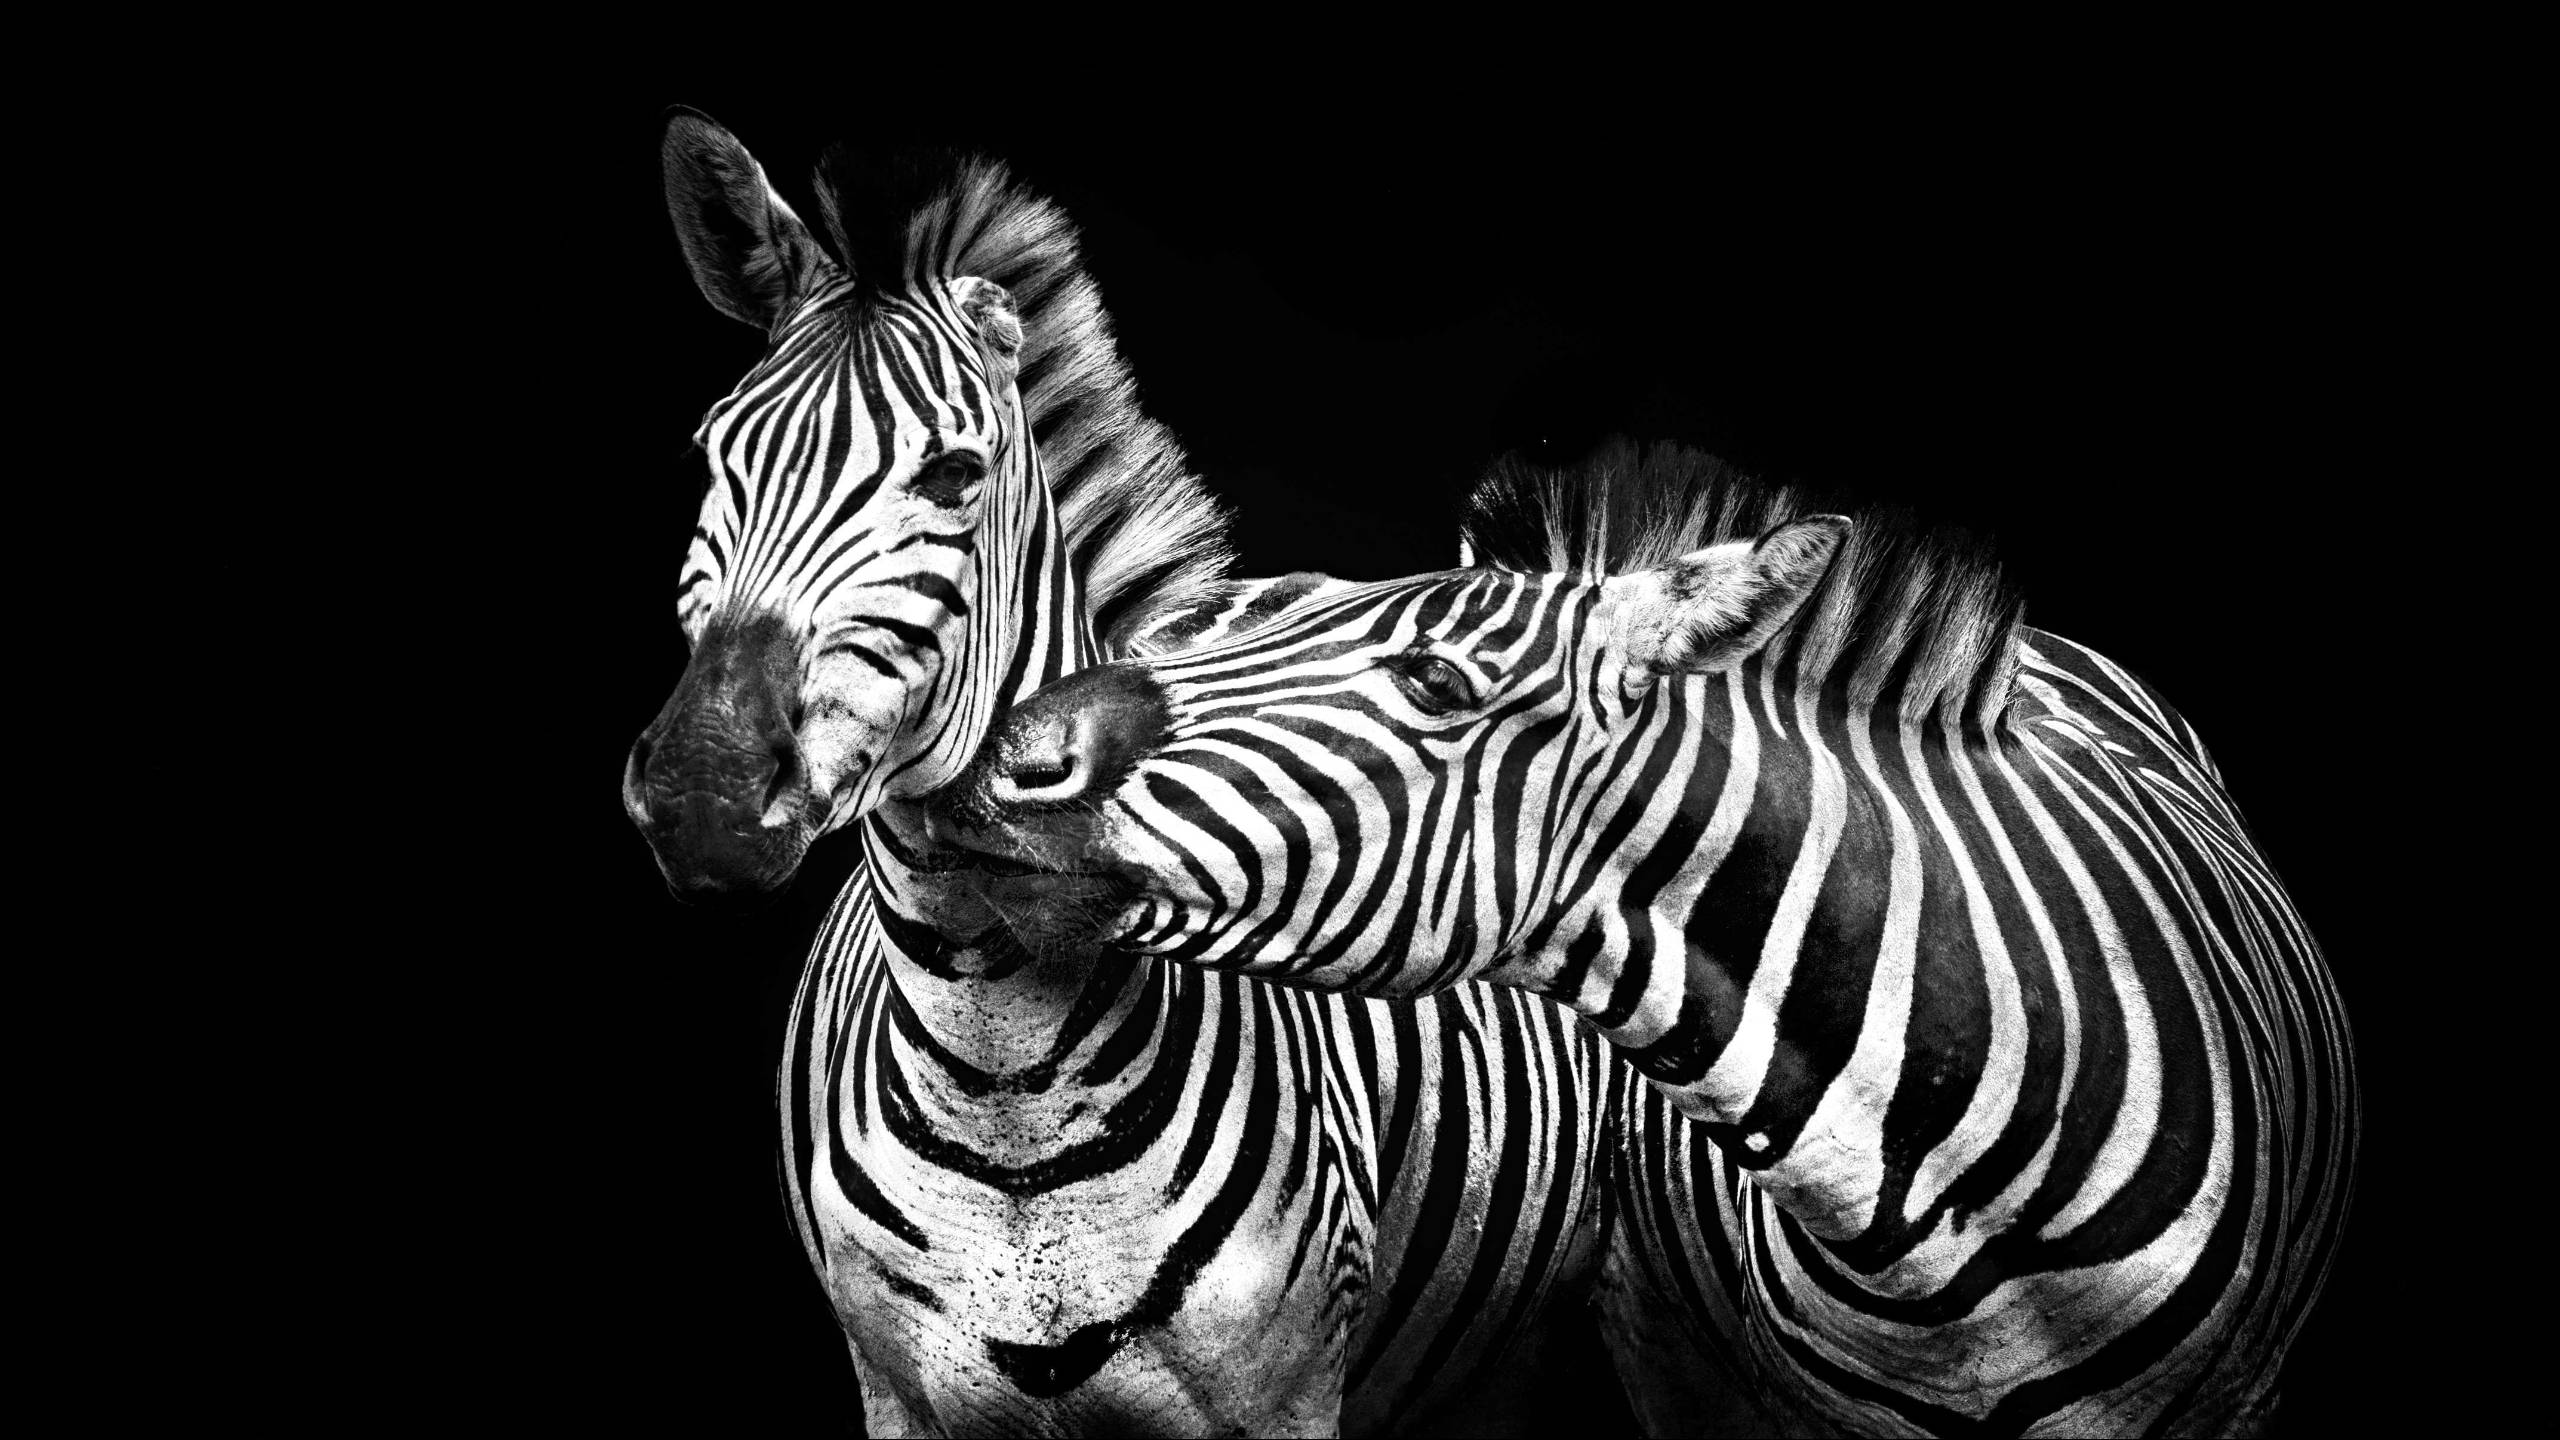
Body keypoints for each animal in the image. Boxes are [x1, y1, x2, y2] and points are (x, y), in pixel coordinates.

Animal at [620, 112, 1616, 1435]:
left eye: (952, 477)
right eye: (711, 452)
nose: (702, 796)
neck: (997, 1070)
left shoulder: (1287, 1395)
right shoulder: (895, 1392)